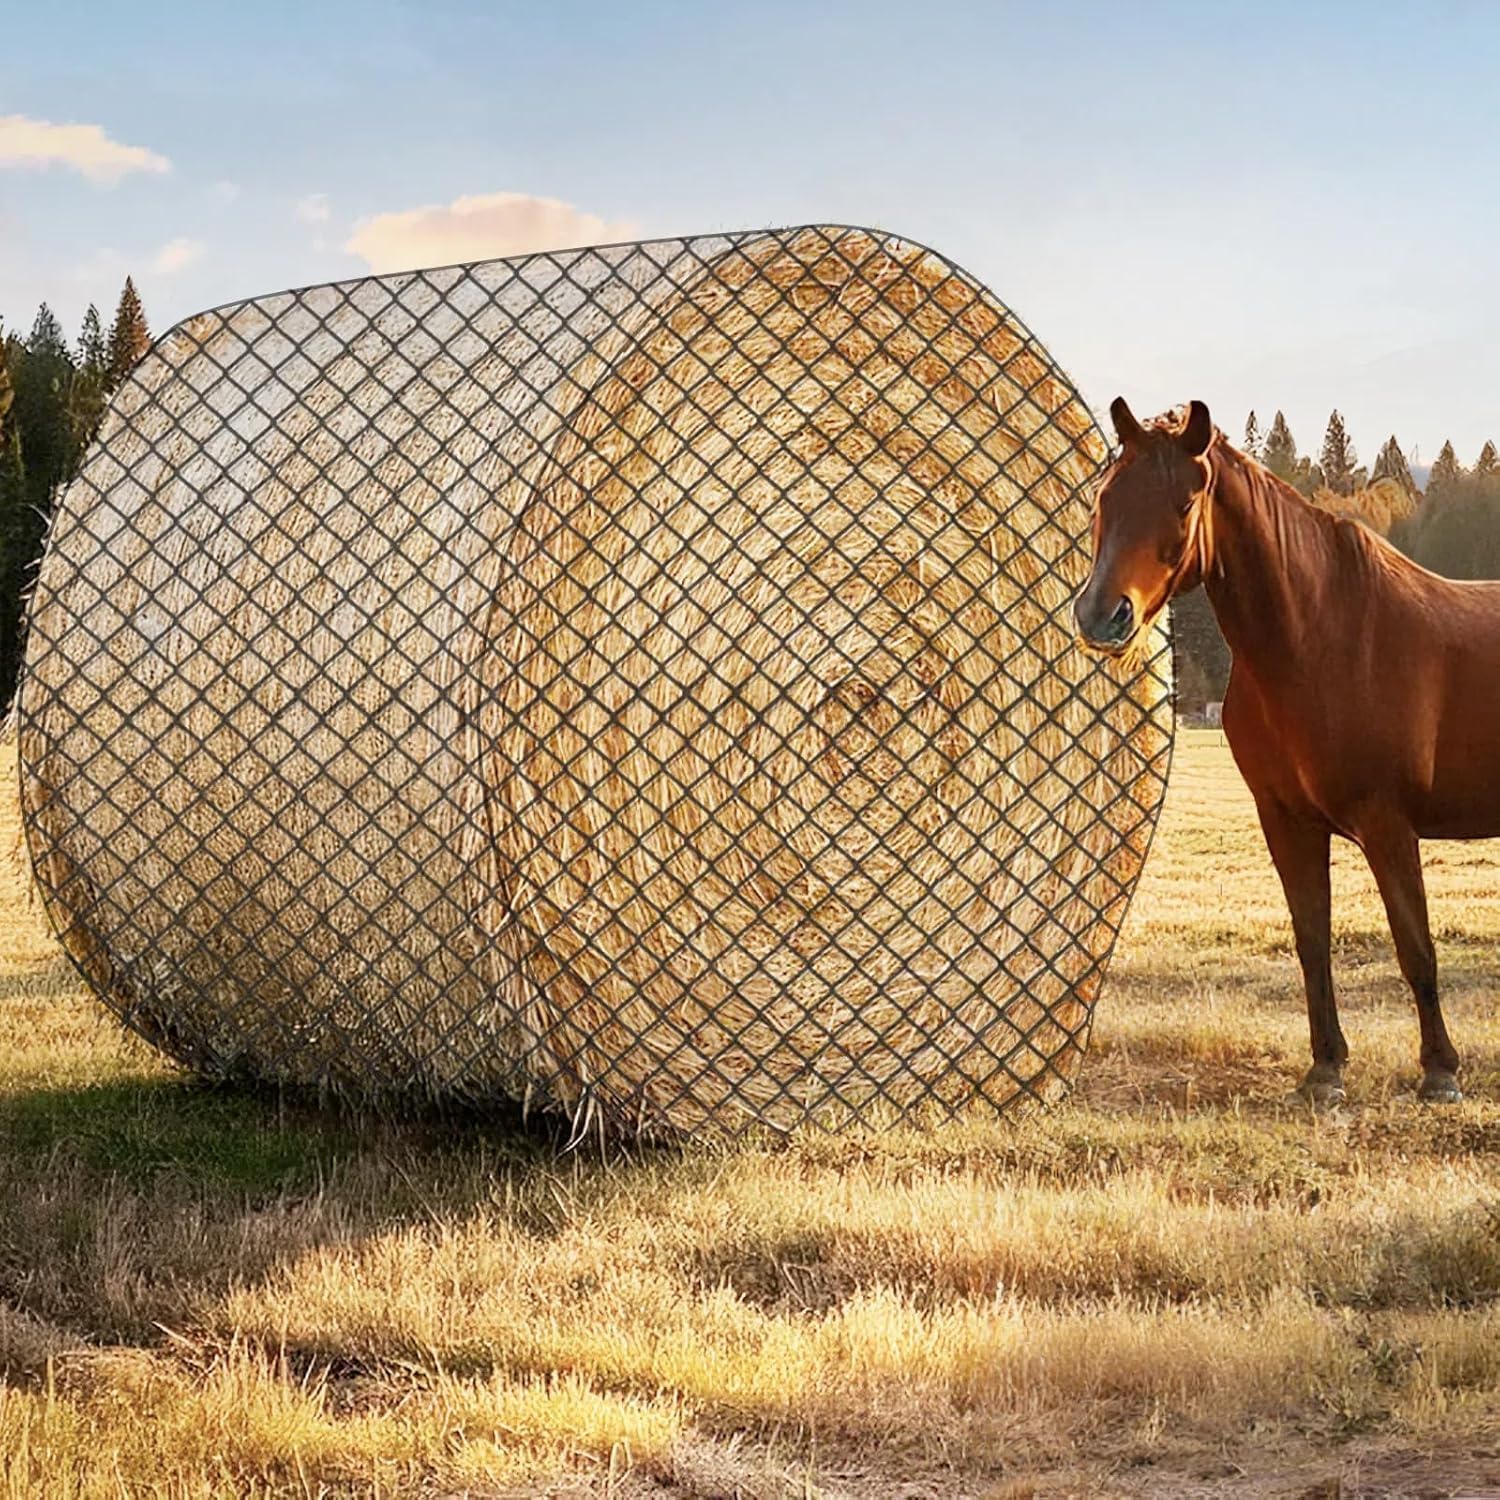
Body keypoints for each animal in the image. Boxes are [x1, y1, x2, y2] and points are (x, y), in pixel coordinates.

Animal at [1074, 397, 1500, 1104]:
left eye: (1185, 503)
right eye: (1105, 497)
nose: (1101, 617)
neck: (1321, 635)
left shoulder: (1388, 824)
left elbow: (1415, 947)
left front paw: (1440, 1071)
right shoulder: (1286, 821)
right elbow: (1311, 939)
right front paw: (1325, 1070)